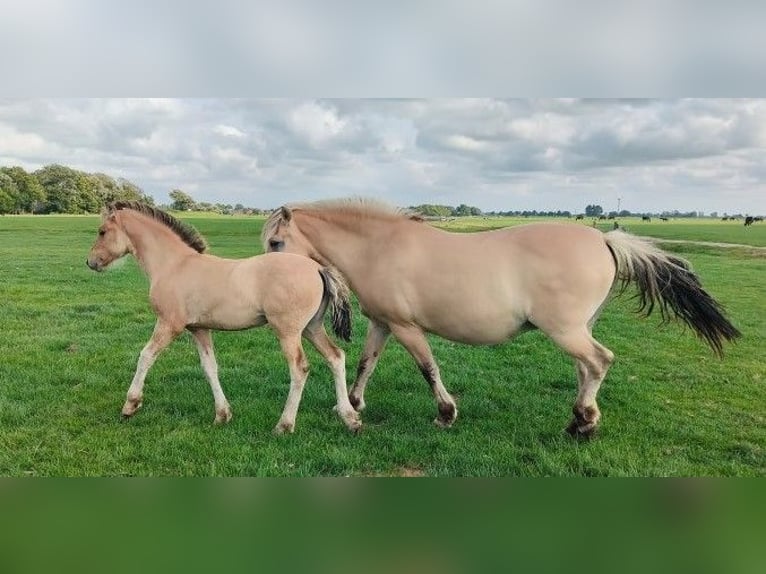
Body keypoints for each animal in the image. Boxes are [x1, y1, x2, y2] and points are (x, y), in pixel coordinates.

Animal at [86, 201, 361, 434]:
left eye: (102, 231)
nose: (91, 262)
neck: (174, 265)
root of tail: (318, 267)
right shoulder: (199, 328)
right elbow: (210, 368)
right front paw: (222, 415)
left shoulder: (170, 324)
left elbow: (145, 356)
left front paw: (130, 406)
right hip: (312, 328)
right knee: (336, 357)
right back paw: (350, 418)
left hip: (288, 331)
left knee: (299, 368)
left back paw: (284, 426)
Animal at [261, 198, 741, 437]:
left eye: (276, 243)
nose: (267, 274)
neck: (379, 247)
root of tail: (604, 240)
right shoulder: (383, 323)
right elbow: (366, 363)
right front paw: (356, 405)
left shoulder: (406, 327)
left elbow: (428, 368)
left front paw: (445, 414)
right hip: (577, 330)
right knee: (586, 368)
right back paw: (577, 420)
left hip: (566, 331)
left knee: (599, 362)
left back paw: (585, 423)